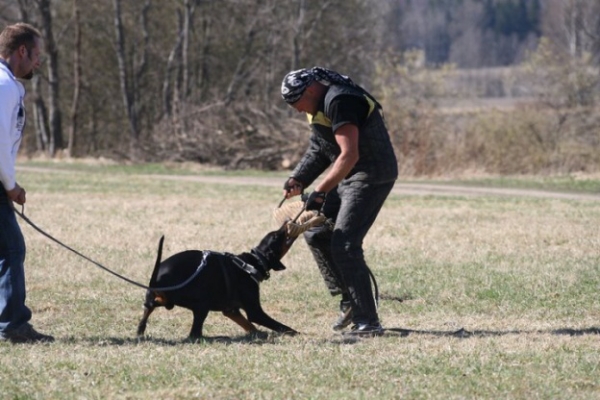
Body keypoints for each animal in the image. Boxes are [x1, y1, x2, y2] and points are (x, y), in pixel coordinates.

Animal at [135, 227, 296, 340]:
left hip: (163, 302)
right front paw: (298, 334)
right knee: (194, 334)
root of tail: (156, 278)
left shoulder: (231, 310)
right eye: (276, 236)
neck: (252, 263)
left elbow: (249, 326)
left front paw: (259, 334)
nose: (287, 222)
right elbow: (281, 326)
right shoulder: (255, 312)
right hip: (202, 305)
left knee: (149, 308)